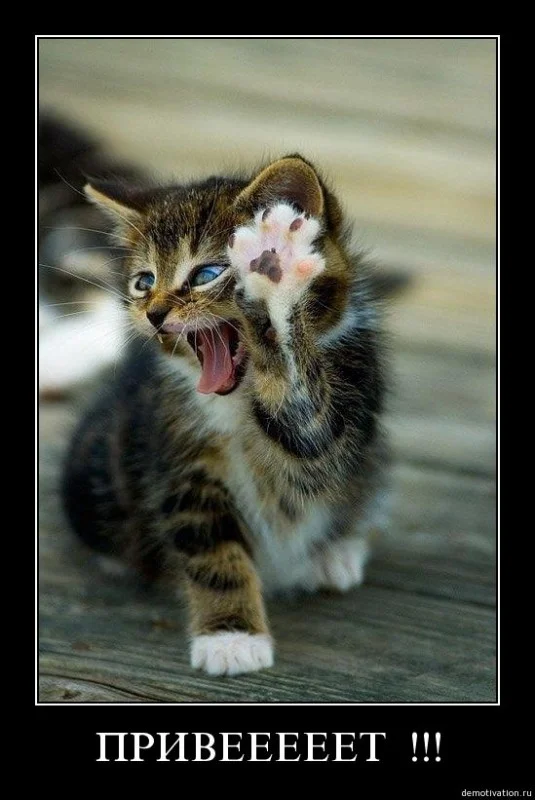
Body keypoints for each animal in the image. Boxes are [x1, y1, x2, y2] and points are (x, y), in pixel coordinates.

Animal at [60, 151, 393, 676]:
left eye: (206, 274)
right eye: (143, 282)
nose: (153, 313)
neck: (239, 402)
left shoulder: (353, 388)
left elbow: (312, 439)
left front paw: (277, 272)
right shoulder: (177, 454)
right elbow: (209, 545)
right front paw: (231, 635)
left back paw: (334, 551)